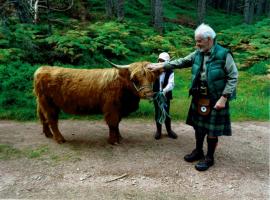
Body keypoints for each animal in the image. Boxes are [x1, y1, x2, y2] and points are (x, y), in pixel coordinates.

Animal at [33, 61, 161, 145]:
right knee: (52, 120)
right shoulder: (111, 108)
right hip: (49, 104)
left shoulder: (119, 110)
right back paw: (60, 139)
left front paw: (119, 137)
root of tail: (42, 69)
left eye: (152, 78)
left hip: (42, 102)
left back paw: (48, 134)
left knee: (43, 118)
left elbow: (117, 124)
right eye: (134, 79)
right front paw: (113, 141)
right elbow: (113, 124)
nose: (148, 94)